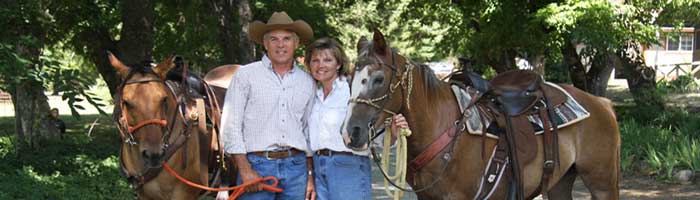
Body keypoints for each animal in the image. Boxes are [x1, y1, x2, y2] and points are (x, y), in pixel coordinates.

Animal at [342, 30, 620, 199]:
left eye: (379, 78)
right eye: (351, 77)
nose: (350, 133)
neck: (444, 130)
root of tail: (602, 103)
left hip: (602, 183)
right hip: (560, 182)